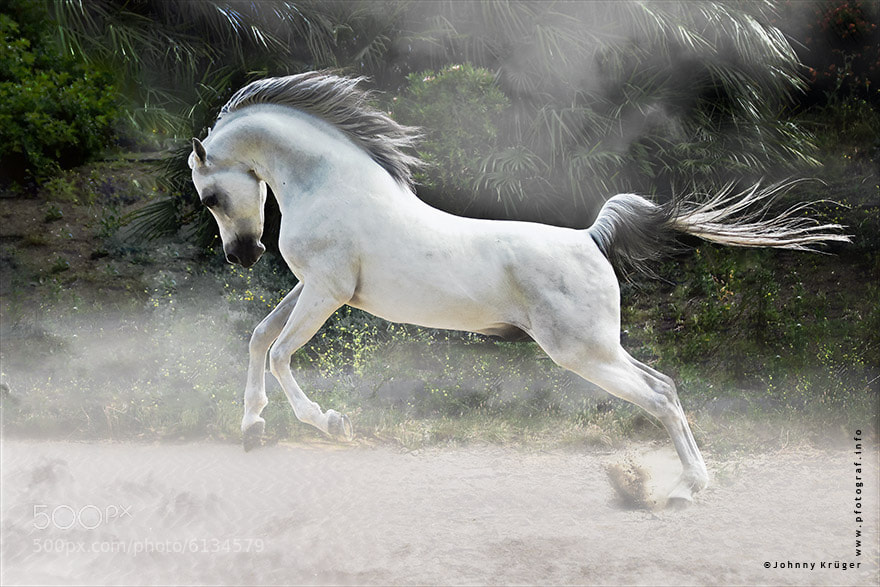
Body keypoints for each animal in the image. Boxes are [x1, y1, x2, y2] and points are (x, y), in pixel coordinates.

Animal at [189, 71, 849, 505]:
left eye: (211, 195)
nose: (242, 256)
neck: (331, 184)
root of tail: (591, 238)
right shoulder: (312, 289)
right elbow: (259, 339)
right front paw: (251, 431)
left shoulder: (326, 291)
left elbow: (280, 353)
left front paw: (331, 423)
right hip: (600, 347)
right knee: (665, 385)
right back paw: (688, 483)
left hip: (582, 351)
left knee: (658, 399)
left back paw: (687, 489)